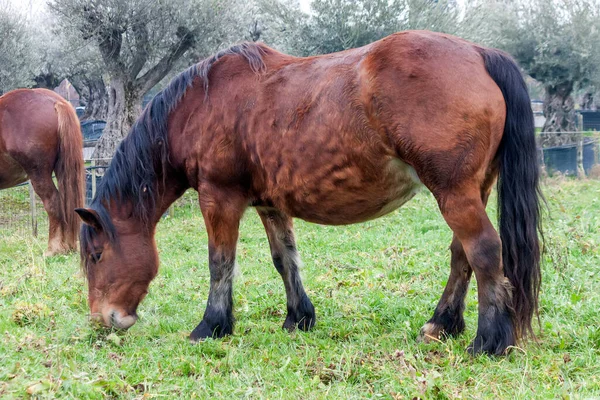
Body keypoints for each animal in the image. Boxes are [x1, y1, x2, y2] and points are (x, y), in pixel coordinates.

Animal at [76, 32, 544, 356]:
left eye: (97, 256)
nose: (103, 320)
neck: (200, 106)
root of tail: (480, 54)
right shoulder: (268, 204)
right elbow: (284, 259)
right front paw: (298, 317)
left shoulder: (219, 198)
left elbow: (219, 263)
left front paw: (211, 326)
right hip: (472, 189)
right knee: (461, 254)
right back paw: (441, 324)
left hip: (454, 192)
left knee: (484, 251)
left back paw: (488, 341)